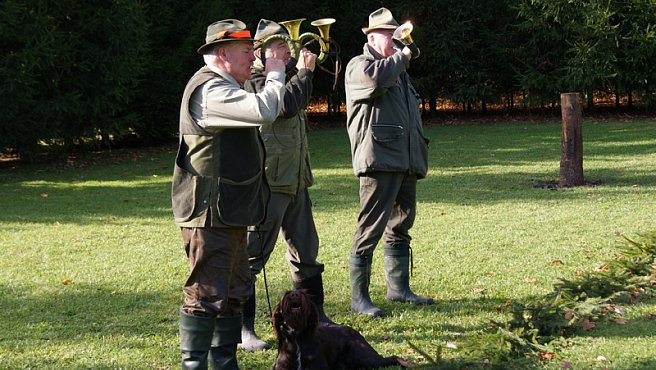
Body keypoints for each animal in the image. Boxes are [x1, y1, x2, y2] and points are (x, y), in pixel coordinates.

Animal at [272, 290, 410, 368]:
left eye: (303, 294)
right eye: (286, 294)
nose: (294, 294)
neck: (298, 337)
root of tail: (355, 332)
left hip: (363, 356)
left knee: (392, 358)